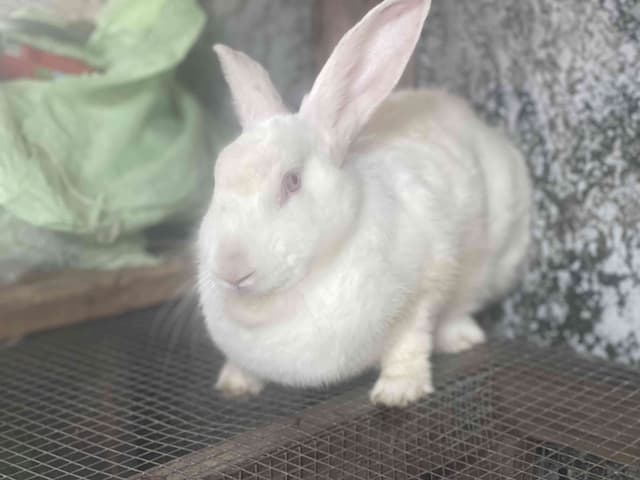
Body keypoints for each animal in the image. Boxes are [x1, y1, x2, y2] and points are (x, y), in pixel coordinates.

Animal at [197, 0, 531, 407]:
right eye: (217, 177)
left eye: (292, 182)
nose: (230, 269)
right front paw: (234, 383)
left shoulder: (424, 288)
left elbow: (409, 343)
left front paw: (398, 392)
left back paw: (460, 339)